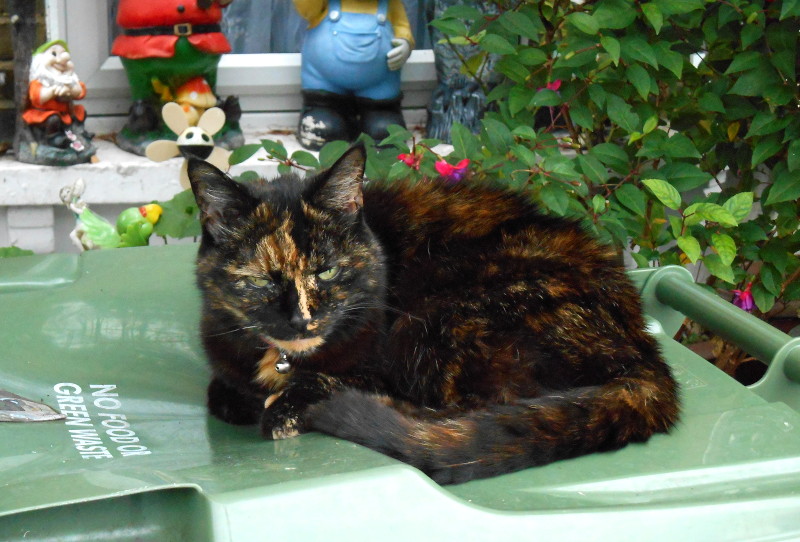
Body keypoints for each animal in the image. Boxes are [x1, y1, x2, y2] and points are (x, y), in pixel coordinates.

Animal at [189, 147, 680, 486]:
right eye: (264, 281)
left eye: (326, 270)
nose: (301, 320)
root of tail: (644, 349)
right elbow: (223, 391)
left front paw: (285, 405)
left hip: (438, 317)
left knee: (462, 411)